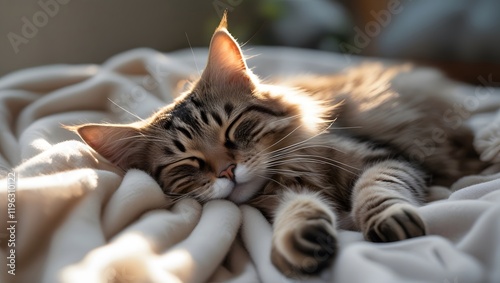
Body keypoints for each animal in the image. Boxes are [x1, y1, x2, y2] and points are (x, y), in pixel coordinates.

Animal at [67, 14, 484, 278]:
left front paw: (388, 220)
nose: (227, 171)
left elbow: (377, 188)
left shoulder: (385, 157)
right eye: (187, 164)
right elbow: (298, 208)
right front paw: (302, 239)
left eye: (233, 130)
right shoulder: (283, 197)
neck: (292, 171)